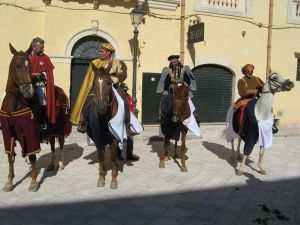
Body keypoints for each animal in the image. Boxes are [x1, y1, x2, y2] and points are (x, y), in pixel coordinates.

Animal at [0, 44, 71, 192]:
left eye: (30, 67)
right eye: (17, 66)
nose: (29, 91)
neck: (14, 105)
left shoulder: (30, 131)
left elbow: (32, 156)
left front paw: (33, 182)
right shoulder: (7, 133)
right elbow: (10, 157)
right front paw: (9, 182)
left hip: (60, 127)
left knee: (61, 144)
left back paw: (60, 163)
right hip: (50, 130)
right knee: (52, 145)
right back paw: (51, 164)